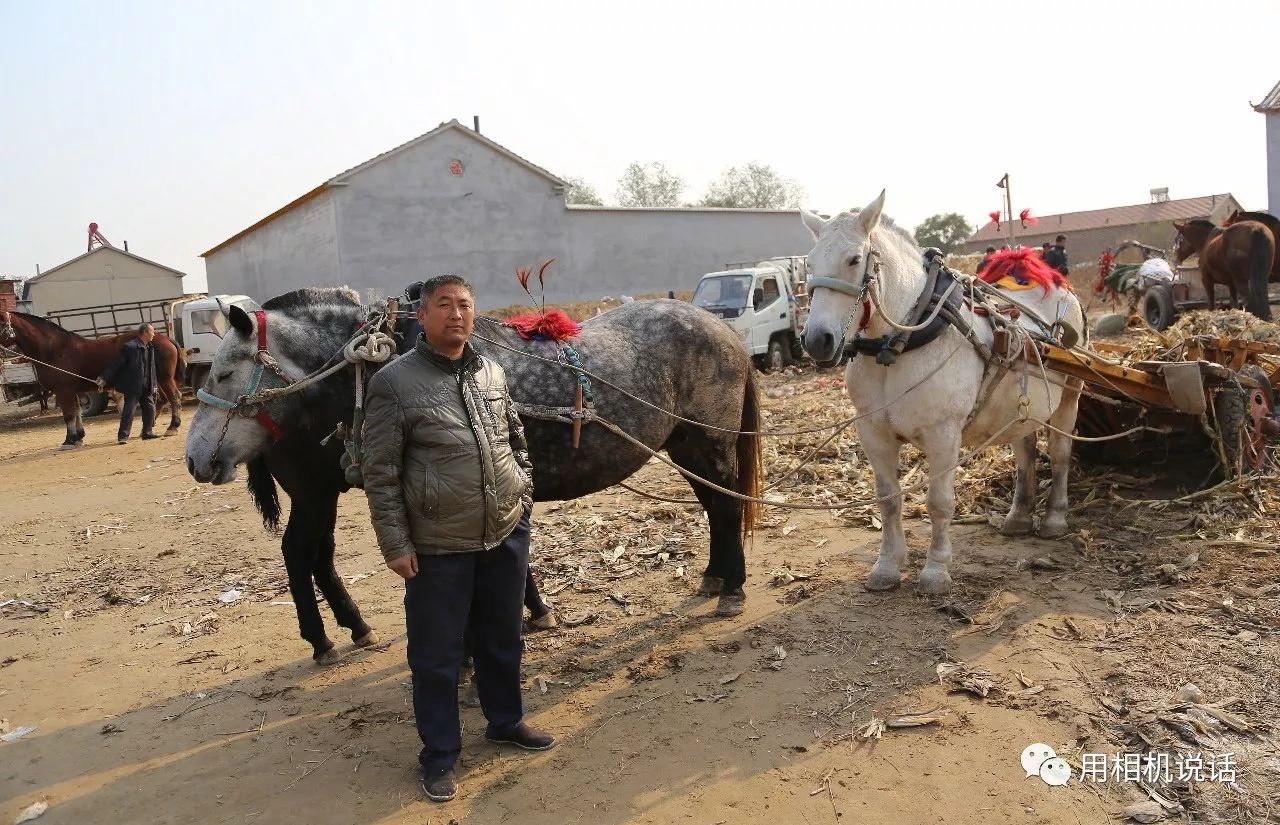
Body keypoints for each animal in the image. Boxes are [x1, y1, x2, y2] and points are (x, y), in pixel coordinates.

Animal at [0, 310, 185, 450]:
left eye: (1, 323)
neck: (54, 350)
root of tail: (165, 338)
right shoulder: (71, 391)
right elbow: (77, 413)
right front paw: (79, 437)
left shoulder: (63, 391)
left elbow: (68, 415)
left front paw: (69, 440)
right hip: (155, 380)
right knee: (161, 400)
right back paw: (148, 429)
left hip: (165, 379)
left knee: (174, 398)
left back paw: (172, 427)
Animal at [798, 190, 1080, 596]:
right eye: (809, 263)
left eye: (854, 259)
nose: (817, 340)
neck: (897, 346)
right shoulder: (873, 433)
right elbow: (888, 499)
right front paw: (887, 566)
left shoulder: (943, 433)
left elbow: (939, 503)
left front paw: (935, 570)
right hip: (1020, 411)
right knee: (1025, 454)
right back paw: (1018, 516)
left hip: (1069, 399)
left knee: (1059, 455)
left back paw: (1055, 518)